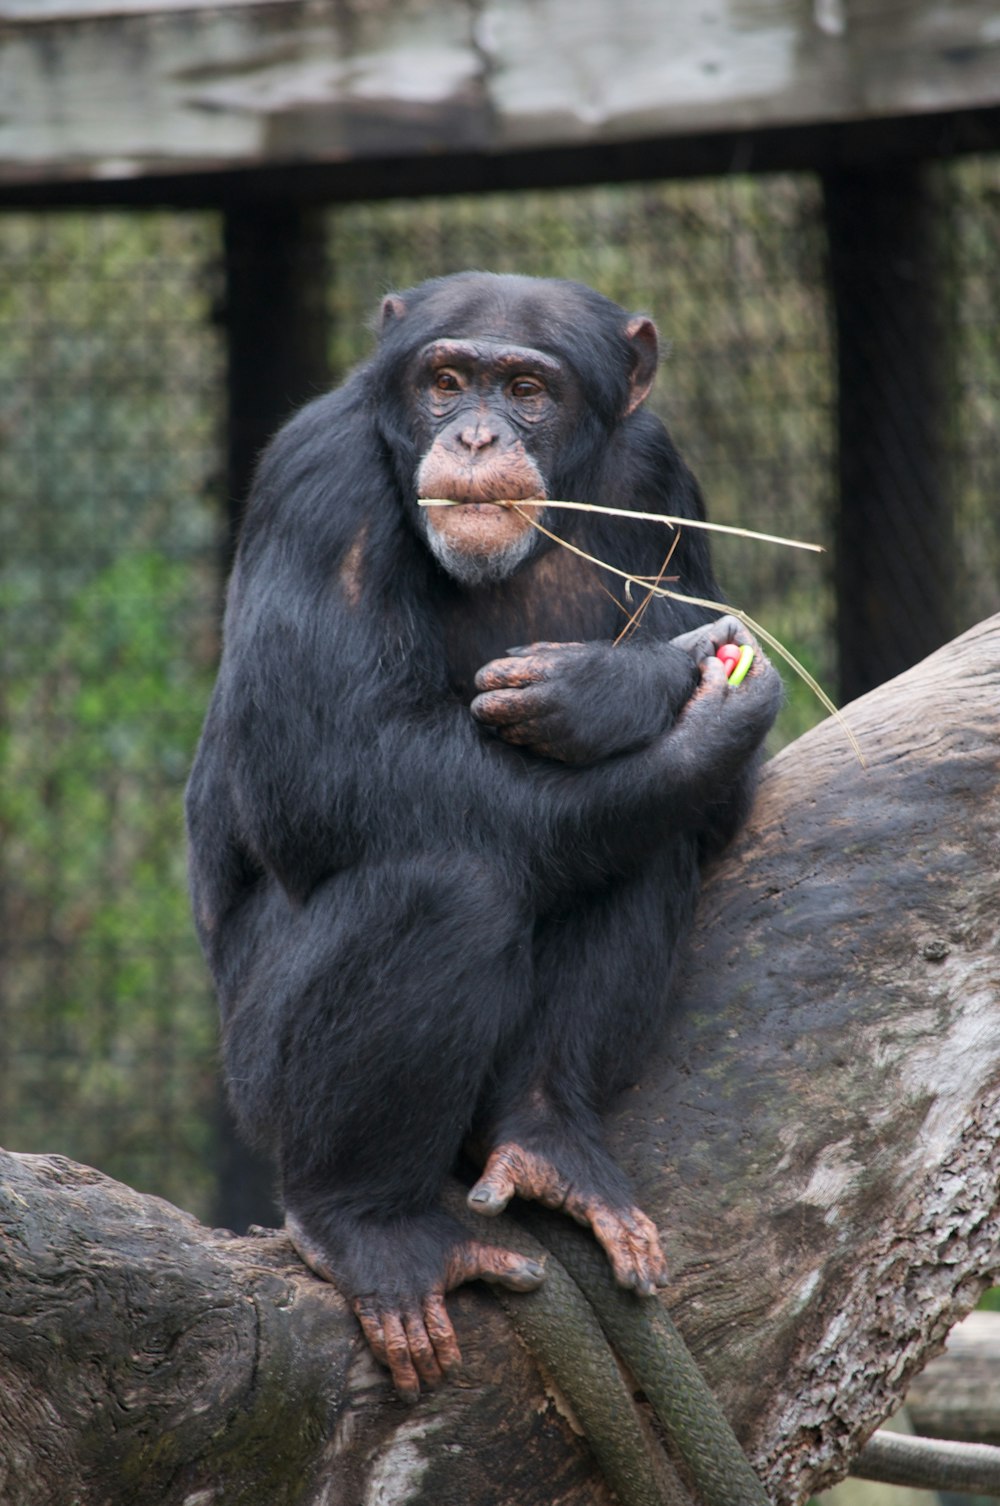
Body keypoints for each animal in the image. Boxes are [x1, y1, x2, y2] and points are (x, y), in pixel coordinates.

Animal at [185, 268, 783, 1397]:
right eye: (447, 379)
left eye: (527, 390)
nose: (471, 435)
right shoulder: (316, 482)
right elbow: (326, 762)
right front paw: (655, 691)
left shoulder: (662, 475)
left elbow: (714, 803)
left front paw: (608, 691)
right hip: (252, 1073)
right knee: (451, 883)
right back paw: (363, 1224)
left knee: (642, 834)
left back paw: (550, 1138)